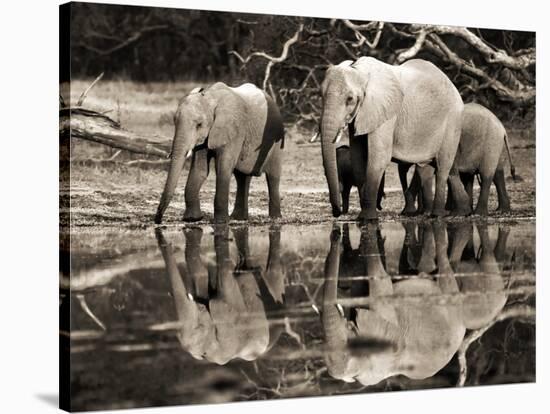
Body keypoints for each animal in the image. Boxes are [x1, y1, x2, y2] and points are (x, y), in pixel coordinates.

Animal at [154, 83, 284, 225]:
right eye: (175, 122)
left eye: (199, 125)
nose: (158, 220)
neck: (211, 97)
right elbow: (199, 170)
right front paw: (192, 219)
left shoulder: (234, 129)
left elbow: (223, 168)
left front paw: (220, 222)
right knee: (242, 177)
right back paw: (238, 218)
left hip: (276, 140)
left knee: (273, 176)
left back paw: (275, 218)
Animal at [320, 57, 470, 223]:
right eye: (321, 96)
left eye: (350, 99)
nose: (337, 212)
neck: (360, 71)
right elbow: (358, 158)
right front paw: (363, 217)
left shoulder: (386, 112)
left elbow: (379, 157)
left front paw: (368, 218)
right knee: (447, 168)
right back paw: (462, 213)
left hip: (453, 121)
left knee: (443, 165)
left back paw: (437, 215)